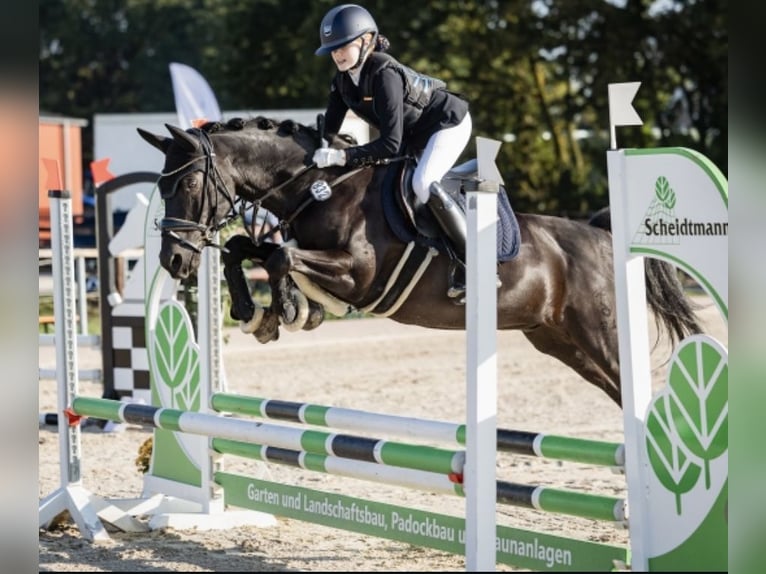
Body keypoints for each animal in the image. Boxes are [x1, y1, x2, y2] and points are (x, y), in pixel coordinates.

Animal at [138, 117, 704, 408]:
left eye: (191, 182)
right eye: (161, 187)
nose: (174, 259)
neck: (320, 187)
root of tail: (602, 237)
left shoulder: (359, 275)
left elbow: (279, 256)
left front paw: (291, 311)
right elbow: (245, 249)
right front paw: (258, 313)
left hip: (598, 334)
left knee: (635, 388)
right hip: (558, 341)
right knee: (619, 392)